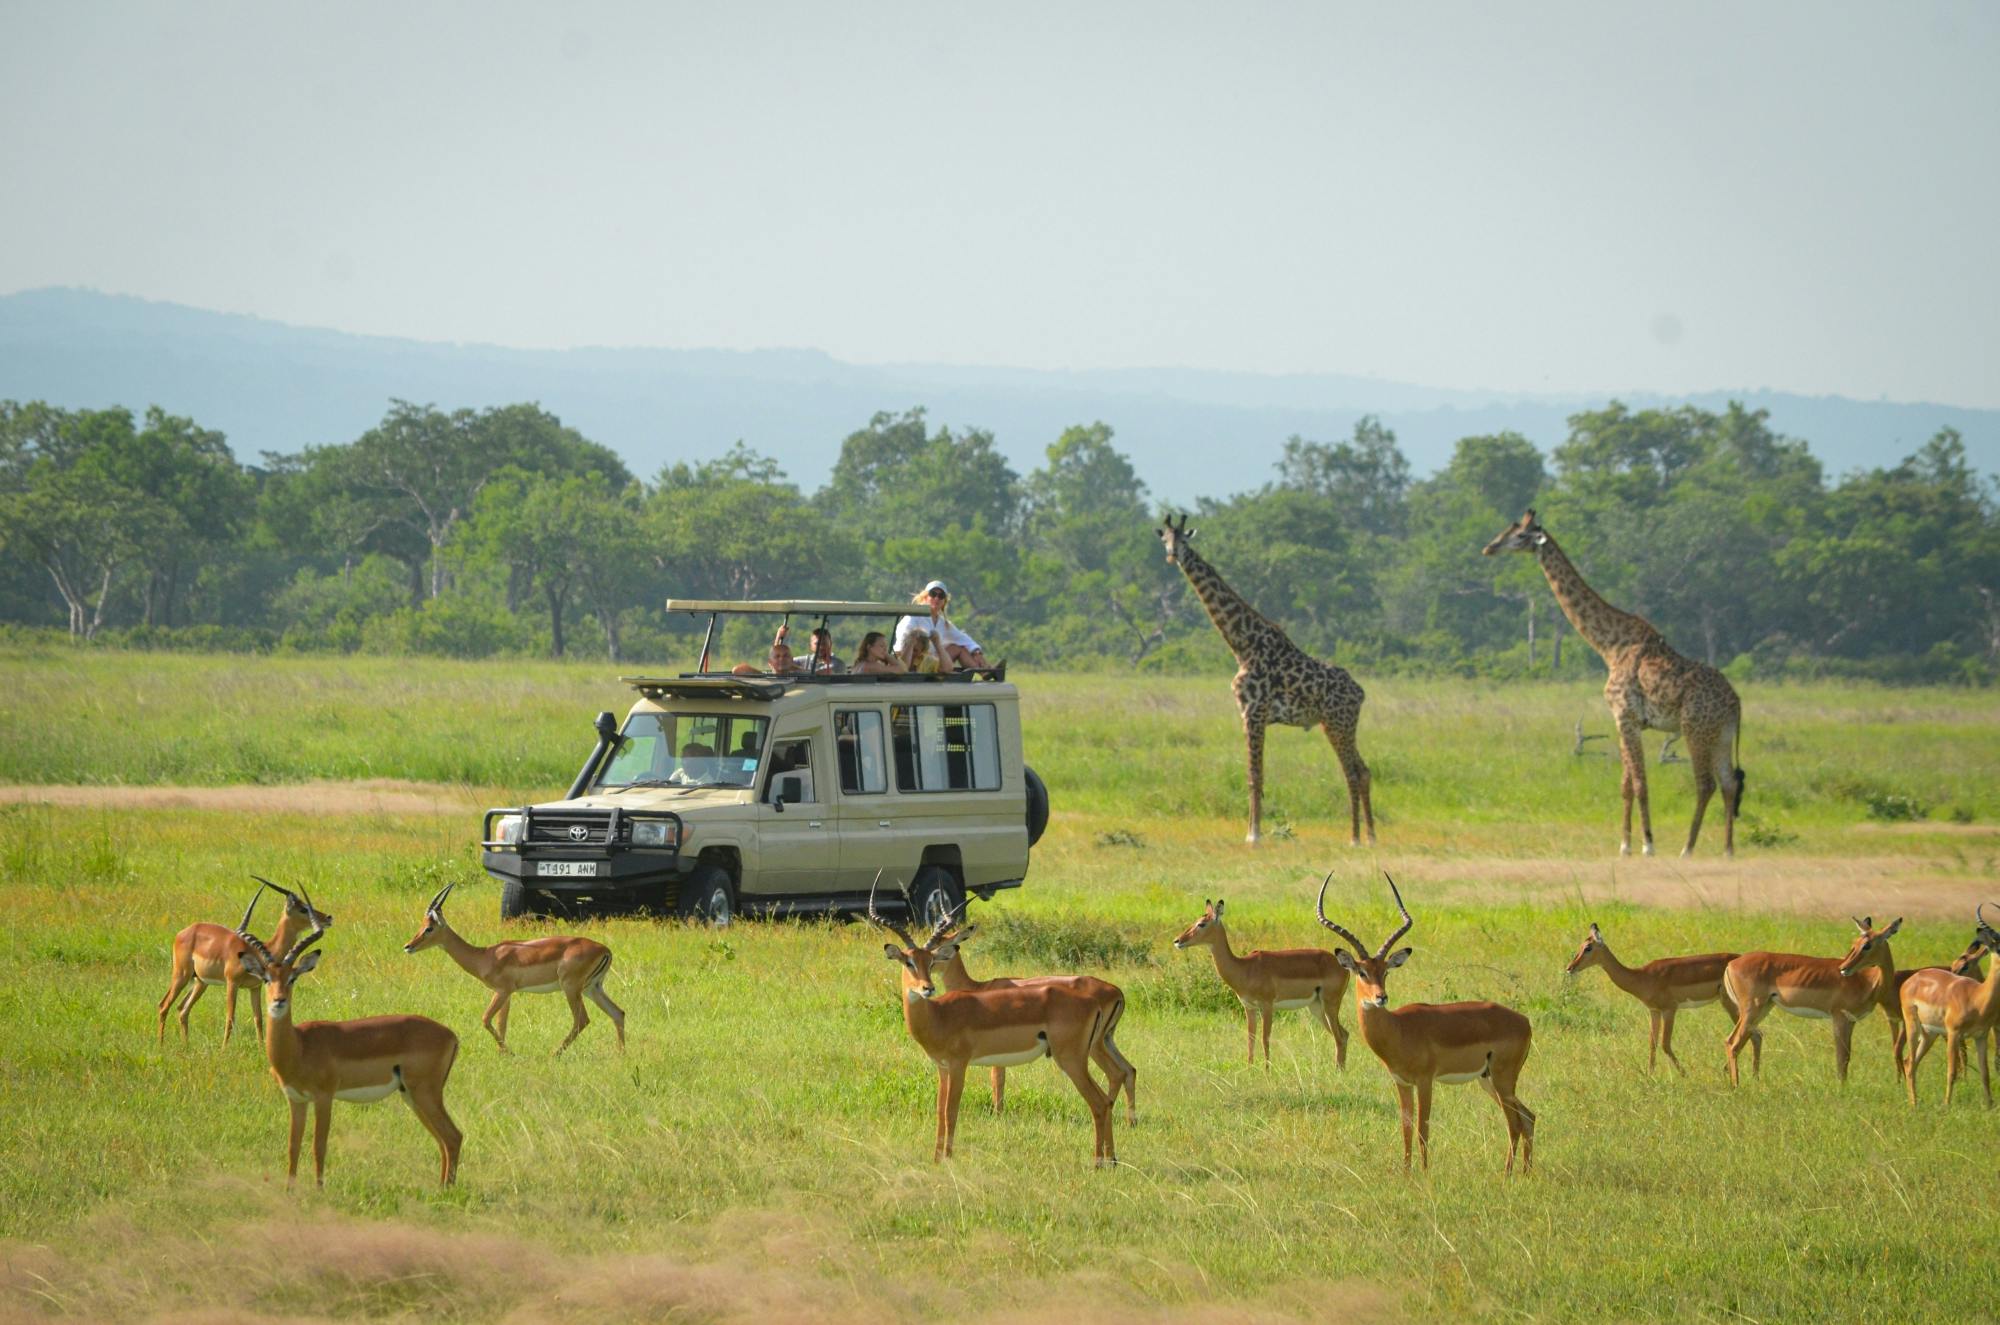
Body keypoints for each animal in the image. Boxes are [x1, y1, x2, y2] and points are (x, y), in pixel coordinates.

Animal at [1160, 512, 1376, 844]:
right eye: (1165, 539)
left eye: (1184, 539)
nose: (1173, 555)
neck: (1242, 645)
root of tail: (1360, 692)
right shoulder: (1248, 714)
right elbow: (1253, 774)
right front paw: (1252, 832)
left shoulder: (1254, 712)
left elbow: (1255, 775)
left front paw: (1254, 836)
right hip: (1339, 723)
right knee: (1362, 770)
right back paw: (1371, 837)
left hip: (1338, 722)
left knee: (1352, 772)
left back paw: (1354, 838)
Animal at [1488, 508, 1752, 860]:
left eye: (1519, 535)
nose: (1489, 548)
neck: (1609, 646)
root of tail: (1736, 702)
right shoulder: (1626, 721)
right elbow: (1626, 784)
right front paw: (1625, 845)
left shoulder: (1625, 715)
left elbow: (1640, 782)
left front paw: (1648, 844)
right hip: (1721, 734)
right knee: (1729, 782)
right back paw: (1727, 850)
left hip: (1695, 728)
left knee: (1706, 783)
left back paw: (1687, 848)